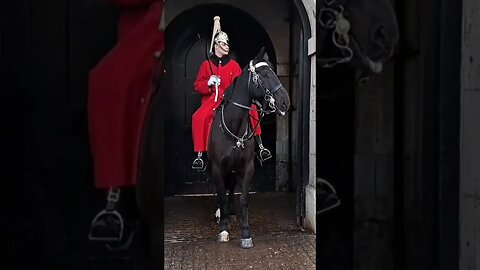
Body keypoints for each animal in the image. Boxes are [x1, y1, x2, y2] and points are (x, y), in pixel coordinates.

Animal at [206, 47, 288, 248]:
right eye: (265, 74)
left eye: (275, 71)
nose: (285, 102)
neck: (233, 125)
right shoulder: (218, 167)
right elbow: (220, 195)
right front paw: (223, 230)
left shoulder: (247, 167)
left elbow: (243, 199)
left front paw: (245, 233)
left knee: (230, 187)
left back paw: (231, 213)